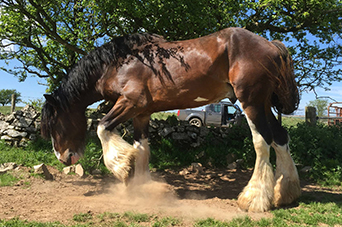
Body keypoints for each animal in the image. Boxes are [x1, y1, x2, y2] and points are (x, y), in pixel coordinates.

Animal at [41, 27, 300, 212]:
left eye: (54, 124)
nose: (63, 158)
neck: (119, 64)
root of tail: (271, 45)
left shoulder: (131, 103)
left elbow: (102, 128)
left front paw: (123, 168)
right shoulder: (142, 113)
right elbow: (142, 149)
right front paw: (142, 188)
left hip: (251, 102)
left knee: (262, 141)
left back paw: (254, 199)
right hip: (263, 104)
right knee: (280, 138)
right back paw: (285, 194)